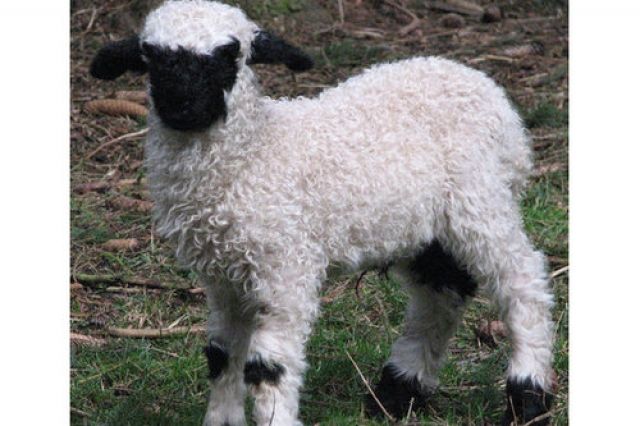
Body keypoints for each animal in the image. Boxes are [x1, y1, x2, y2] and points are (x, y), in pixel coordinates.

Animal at [89, 1, 555, 425]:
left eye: (228, 56)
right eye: (150, 58)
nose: (182, 104)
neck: (255, 154)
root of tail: (486, 88)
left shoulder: (285, 265)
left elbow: (266, 366)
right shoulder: (225, 276)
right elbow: (222, 355)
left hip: (480, 199)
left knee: (522, 281)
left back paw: (528, 396)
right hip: (426, 227)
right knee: (440, 293)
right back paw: (398, 392)